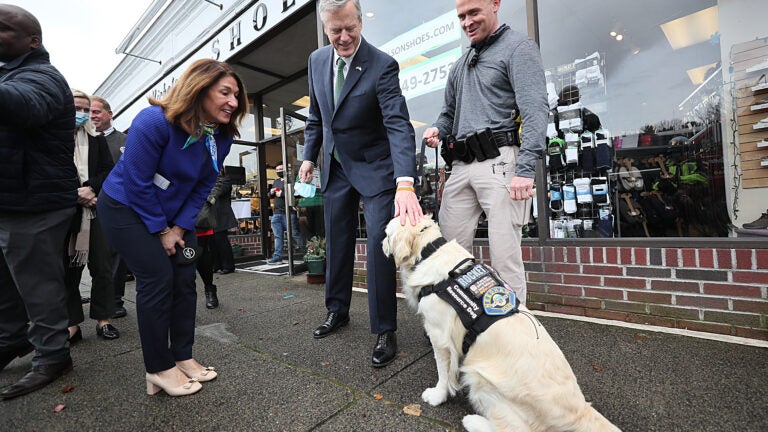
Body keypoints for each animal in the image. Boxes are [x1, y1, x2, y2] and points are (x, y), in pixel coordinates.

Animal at [380, 216, 620, 432]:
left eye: (386, 234)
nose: (380, 243)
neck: (428, 249)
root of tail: (580, 410)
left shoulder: (440, 337)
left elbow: (444, 372)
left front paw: (438, 395)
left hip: (479, 378)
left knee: (512, 428)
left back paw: (473, 421)